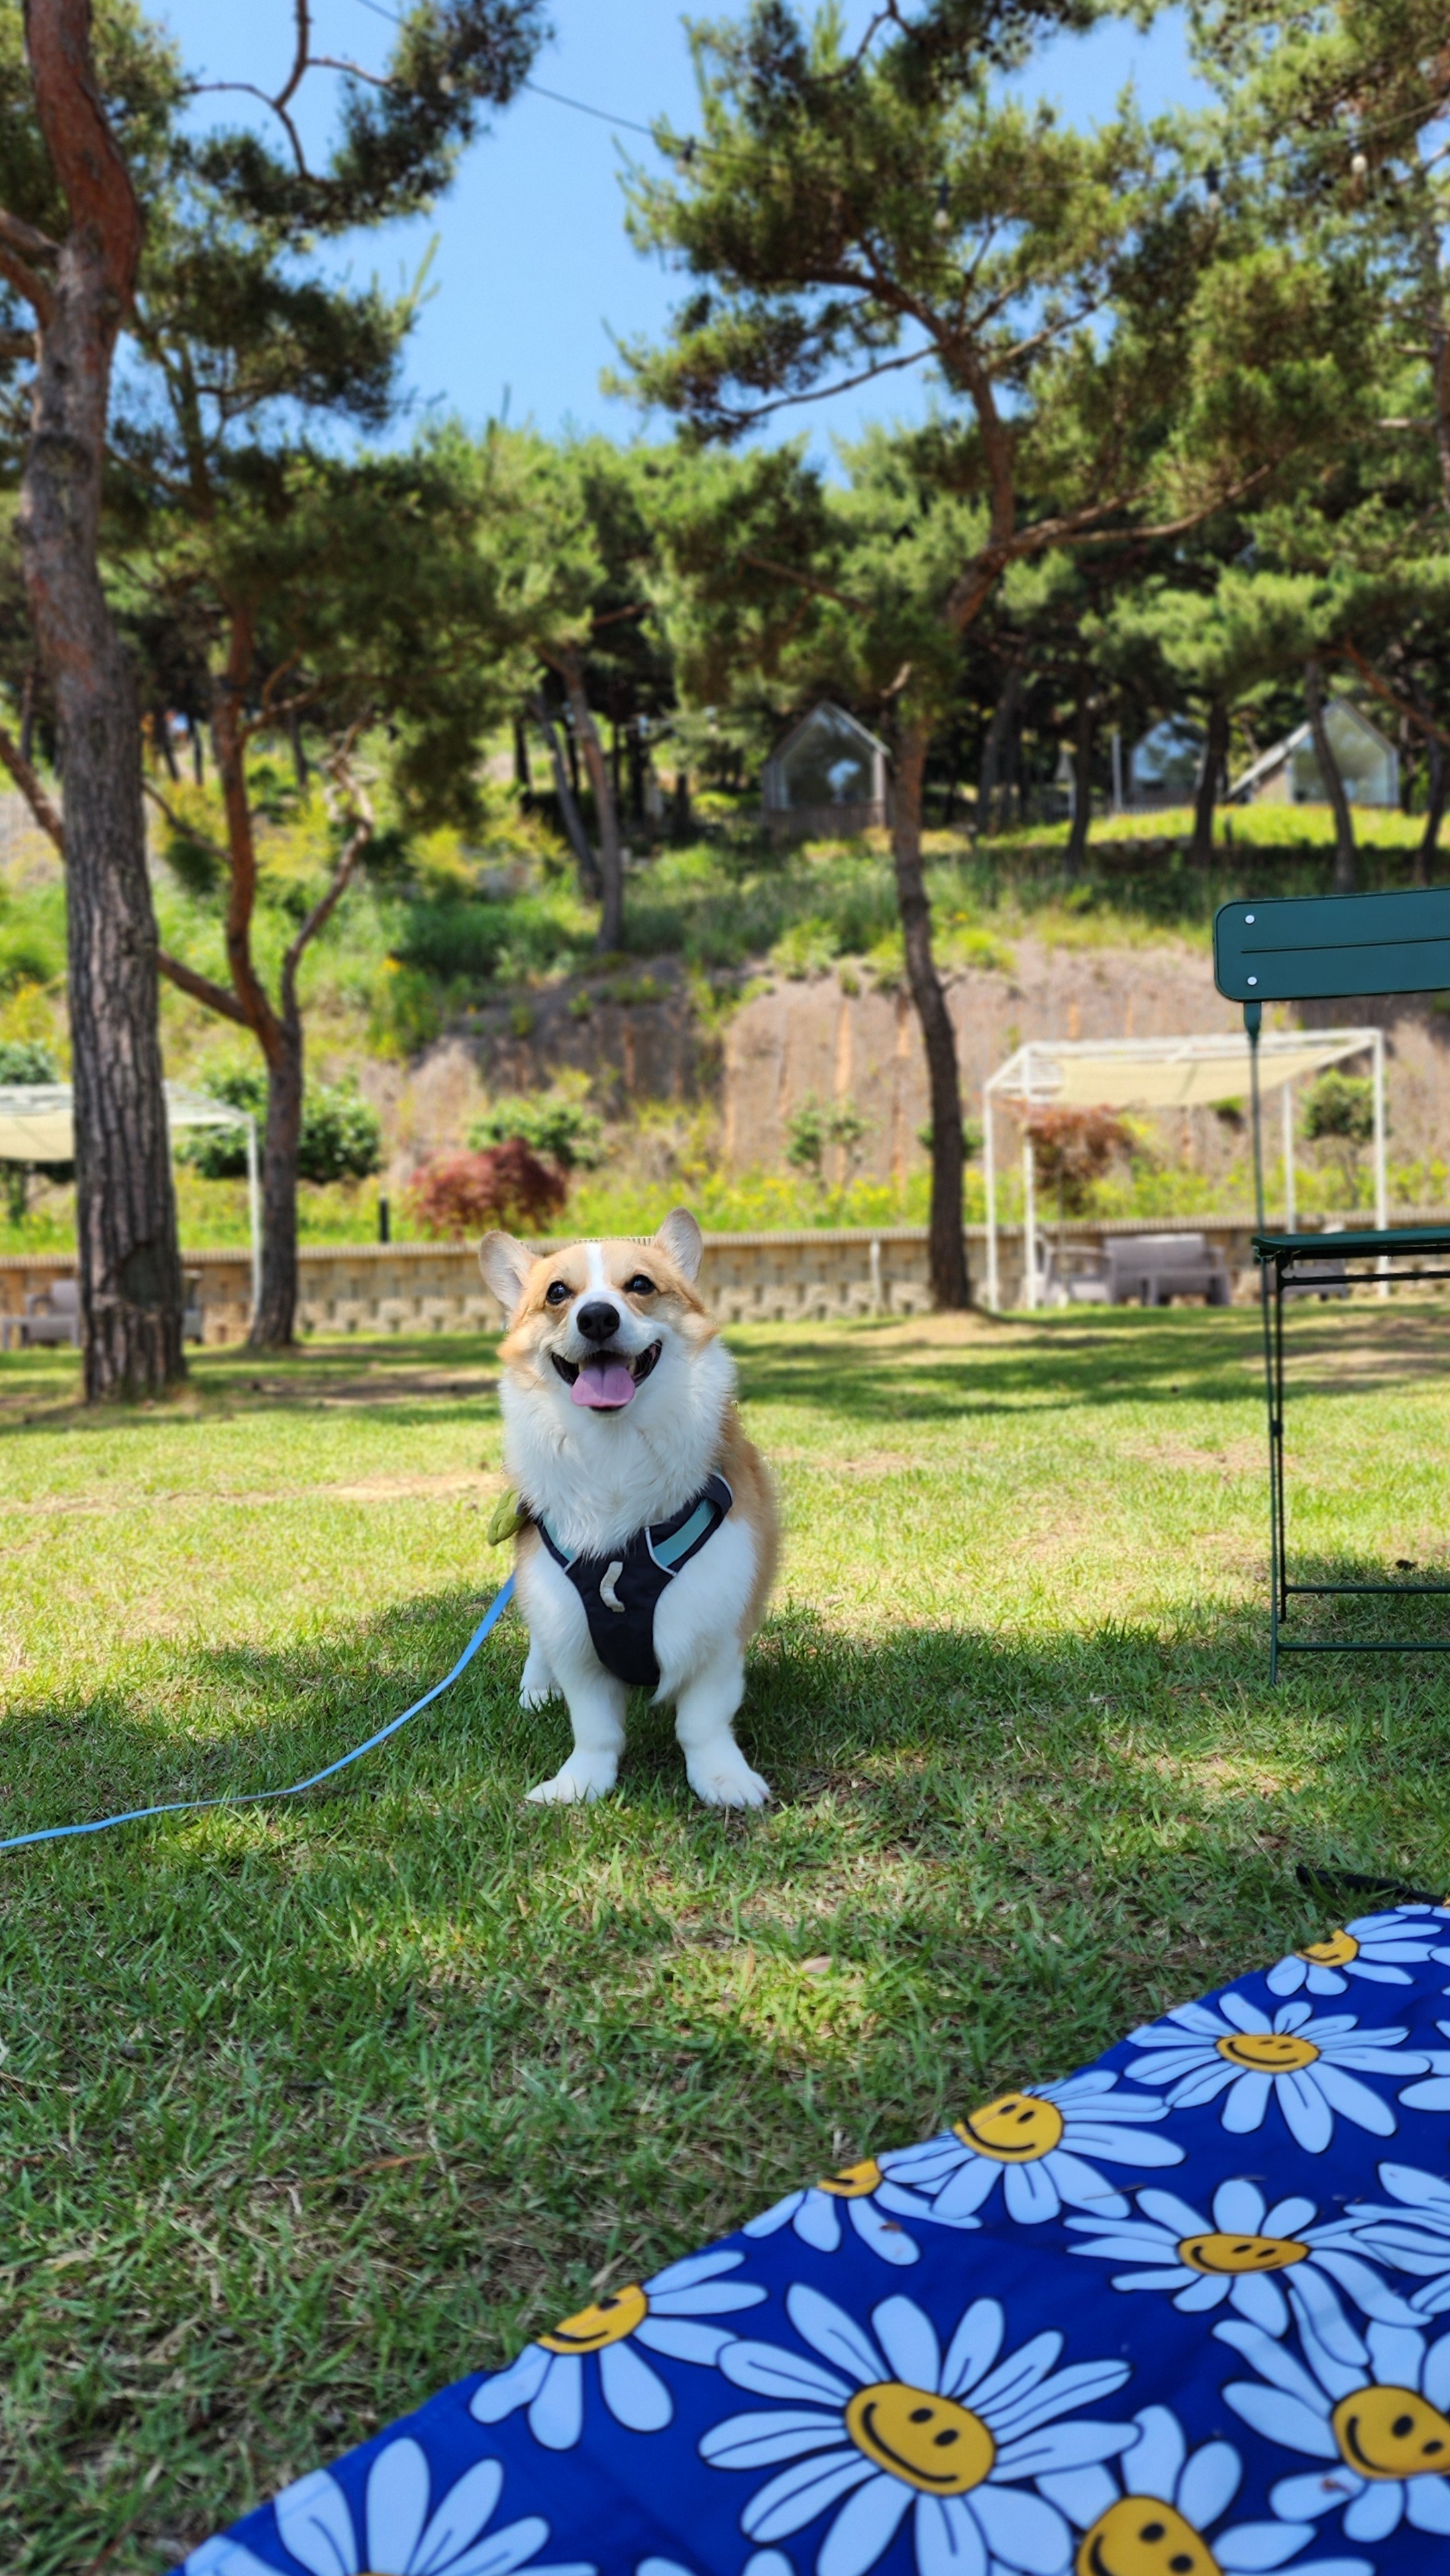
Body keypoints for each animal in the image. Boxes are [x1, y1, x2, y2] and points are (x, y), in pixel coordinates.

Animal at [481, 1205, 782, 1813]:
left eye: (640, 1285)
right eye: (557, 1293)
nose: (597, 1318)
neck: (614, 1448)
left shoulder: (713, 1624)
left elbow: (702, 1723)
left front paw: (722, 1778)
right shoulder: (570, 1630)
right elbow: (595, 1729)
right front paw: (579, 1783)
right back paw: (536, 1686)